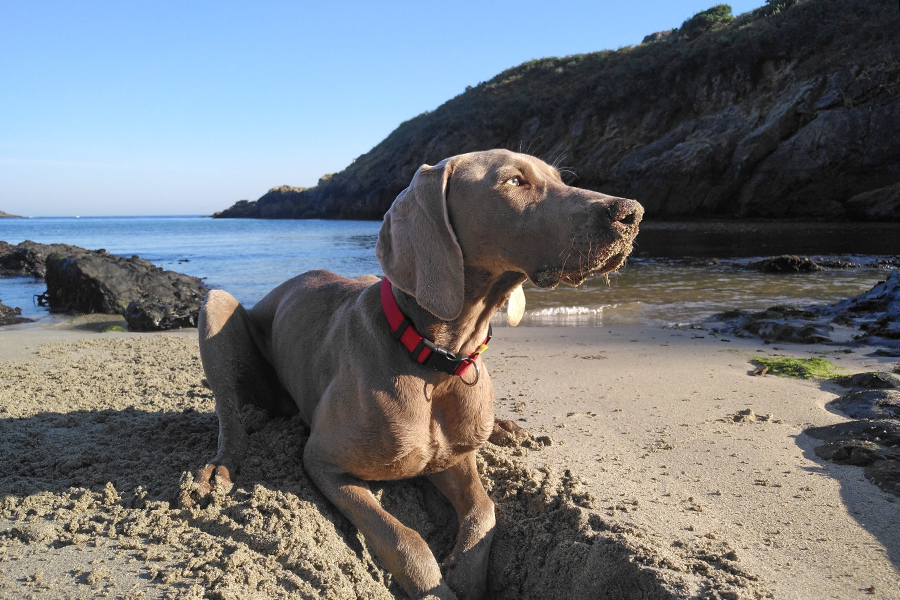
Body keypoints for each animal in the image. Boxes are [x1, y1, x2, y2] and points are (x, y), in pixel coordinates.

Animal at [190, 150, 644, 600]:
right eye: (514, 181)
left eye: (560, 178)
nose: (632, 212)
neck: (438, 362)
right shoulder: (322, 461)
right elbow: (404, 538)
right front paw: (437, 588)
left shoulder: (452, 456)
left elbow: (485, 509)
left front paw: (465, 575)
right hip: (216, 304)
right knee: (229, 415)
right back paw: (216, 472)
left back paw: (508, 429)